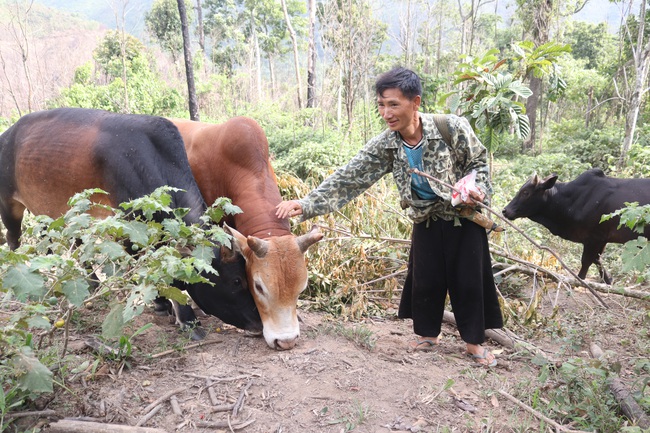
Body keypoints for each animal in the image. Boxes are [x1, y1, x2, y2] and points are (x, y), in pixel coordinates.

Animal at [1, 106, 264, 336]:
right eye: (236, 281)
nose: (259, 323)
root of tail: (8, 133)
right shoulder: (128, 228)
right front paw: (184, 317)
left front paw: (164, 305)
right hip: (9, 205)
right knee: (14, 240)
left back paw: (88, 282)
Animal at [502, 169, 648, 284]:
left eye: (525, 192)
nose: (505, 211)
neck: (572, 201)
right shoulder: (601, 239)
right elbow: (597, 260)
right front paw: (609, 281)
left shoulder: (595, 237)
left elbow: (586, 261)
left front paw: (581, 283)